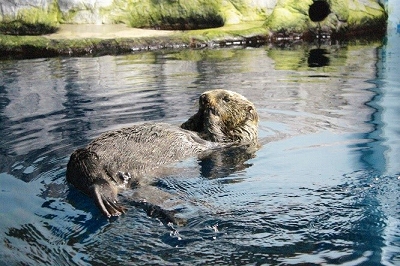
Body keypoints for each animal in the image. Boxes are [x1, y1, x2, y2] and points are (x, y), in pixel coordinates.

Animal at [66, 89, 260, 220]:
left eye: (226, 98)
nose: (203, 97)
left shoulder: (232, 140)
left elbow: (216, 134)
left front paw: (211, 113)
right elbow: (188, 125)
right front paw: (200, 111)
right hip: (87, 160)